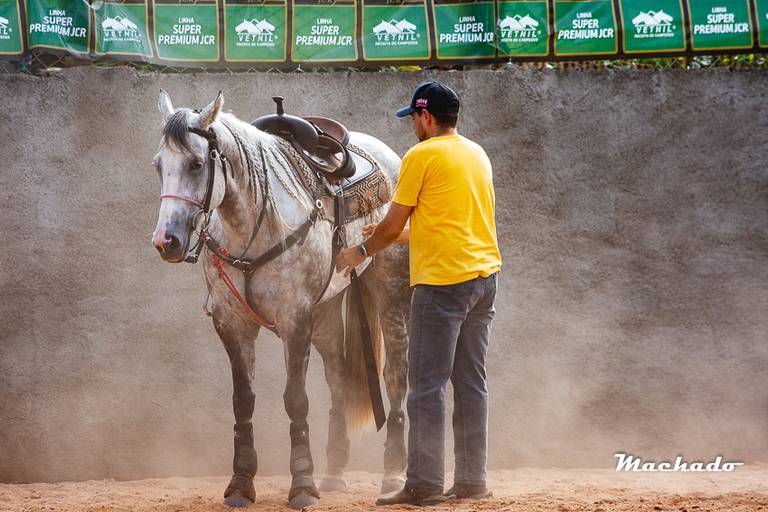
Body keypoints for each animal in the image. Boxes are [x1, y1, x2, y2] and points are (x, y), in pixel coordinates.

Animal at [150, 90, 411, 509]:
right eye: (159, 165)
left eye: (196, 163)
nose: (166, 241)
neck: (253, 229)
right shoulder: (232, 323)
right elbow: (243, 400)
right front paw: (241, 484)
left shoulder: (295, 319)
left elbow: (296, 399)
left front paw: (302, 484)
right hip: (327, 310)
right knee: (338, 376)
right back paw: (334, 473)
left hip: (390, 290)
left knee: (395, 376)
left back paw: (392, 474)